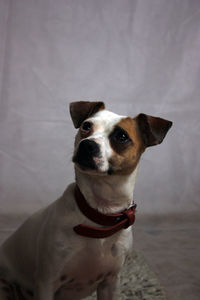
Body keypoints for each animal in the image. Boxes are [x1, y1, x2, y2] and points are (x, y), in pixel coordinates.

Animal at [0, 101, 172, 300]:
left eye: (122, 136)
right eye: (86, 126)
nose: (87, 145)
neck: (99, 213)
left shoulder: (110, 283)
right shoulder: (46, 283)